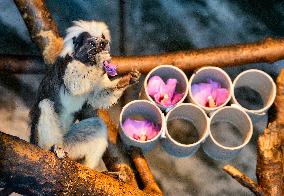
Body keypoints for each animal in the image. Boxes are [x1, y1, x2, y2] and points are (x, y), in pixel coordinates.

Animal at [29, 20, 140, 169]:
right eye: (92, 43)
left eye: (103, 42)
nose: (102, 46)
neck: (86, 63)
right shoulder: (67, 65)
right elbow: (75, 86)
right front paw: (101, 60)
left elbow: (97, 96)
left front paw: (126, 80)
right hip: (40, 139)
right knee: (45, 104)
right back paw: (52, 148)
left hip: (70, 146)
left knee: (97, 125)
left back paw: (88, 167)